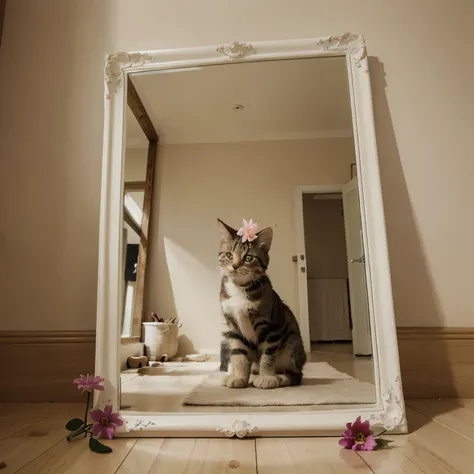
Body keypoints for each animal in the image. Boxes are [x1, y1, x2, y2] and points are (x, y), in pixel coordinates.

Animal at [218, 218, 308, 388]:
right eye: (229, 255)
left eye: (248, 258)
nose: (235, 266)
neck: (240, 288)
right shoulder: (233, 325)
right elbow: (238, 352)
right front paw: (239, 377)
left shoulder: (271, 326)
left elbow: (268, 355)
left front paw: (266, 377)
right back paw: (251, 375)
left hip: (292, 342)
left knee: (296, 374)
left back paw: (279, 377)